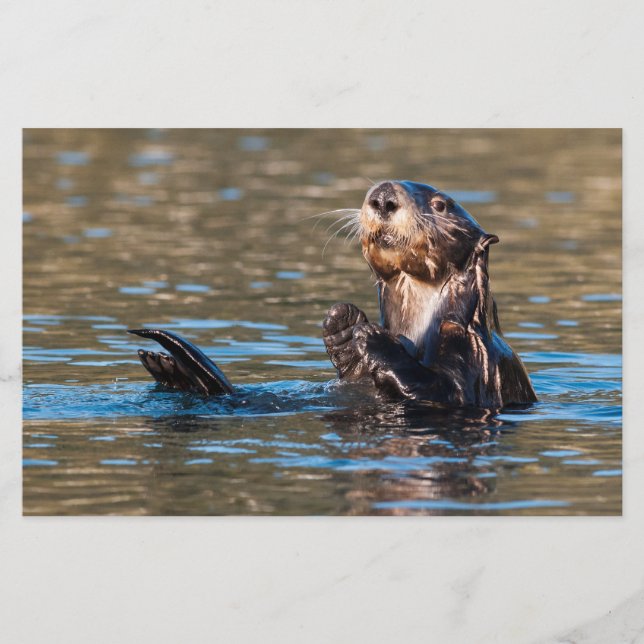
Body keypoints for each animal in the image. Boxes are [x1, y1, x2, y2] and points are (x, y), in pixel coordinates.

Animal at [129, 180, 537, 409]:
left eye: (440, 204)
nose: (383, 197)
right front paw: (343, 324)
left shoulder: (474, 358)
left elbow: (443, 391)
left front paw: (372, 337)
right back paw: (168, 368)